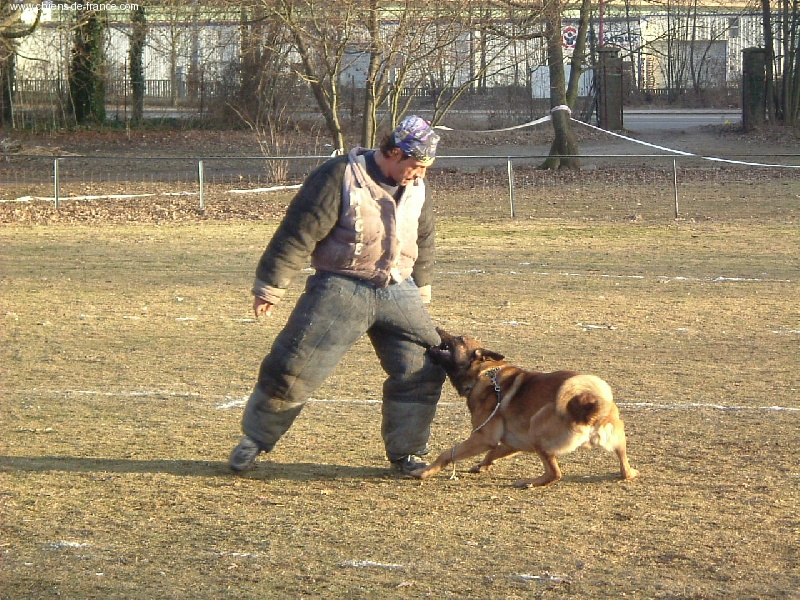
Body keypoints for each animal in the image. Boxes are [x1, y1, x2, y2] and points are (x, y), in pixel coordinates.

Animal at [416, 328, 640, 488]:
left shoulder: (483, 438)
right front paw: (481, 466)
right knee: (624, 466)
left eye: (459, 338)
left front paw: (426, 471)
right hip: (617, 437)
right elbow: (492, 454)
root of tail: (589, 407)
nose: (436, 327)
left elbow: (449, 452)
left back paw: (529, 482)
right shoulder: (513, 443)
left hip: (537, 427)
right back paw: (629, 472)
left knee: (554, 473)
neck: (483, 373)